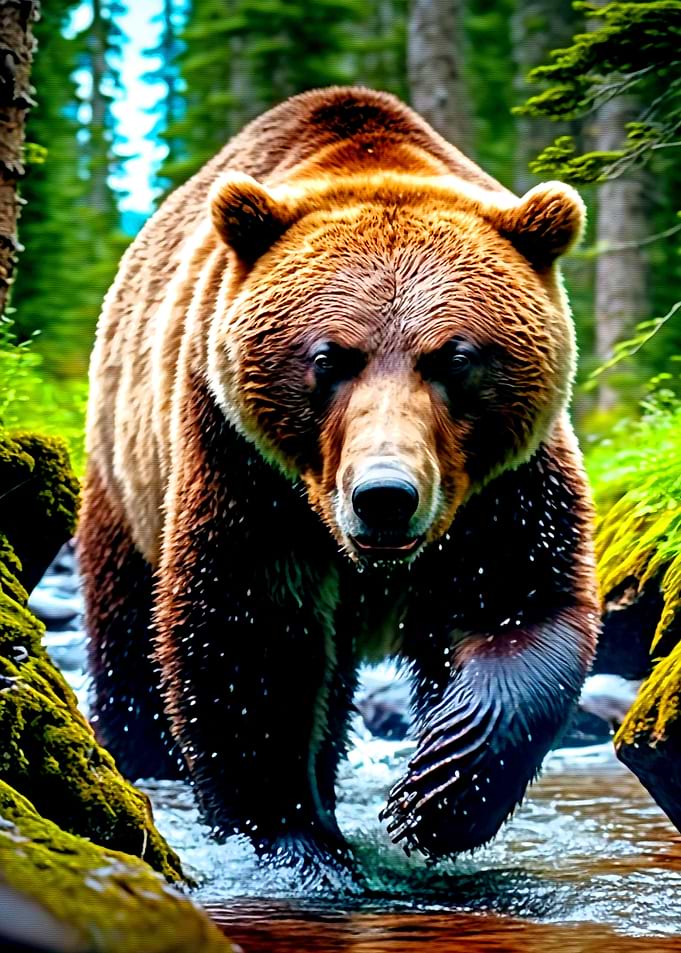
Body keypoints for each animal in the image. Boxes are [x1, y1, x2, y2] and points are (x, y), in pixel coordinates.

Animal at [78, 86, 600, 882]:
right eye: (329, 357)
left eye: (454, 357)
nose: (384, 496)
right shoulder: (246, 469)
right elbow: (246, 639)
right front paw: (301, 842)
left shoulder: (501, 488)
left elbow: (520, 602)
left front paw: (437, 787)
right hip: (126, 474)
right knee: (130, 634)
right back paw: (143, 758)